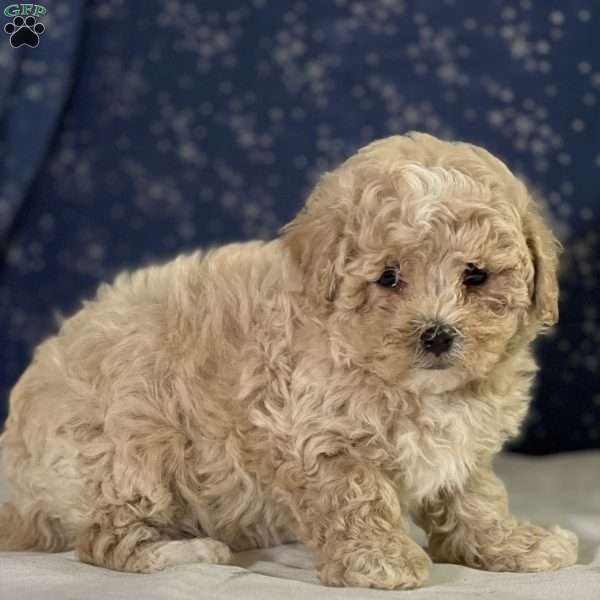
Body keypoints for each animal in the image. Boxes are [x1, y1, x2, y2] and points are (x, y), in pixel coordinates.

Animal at [2, 134, 580, 588]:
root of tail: (24, 483)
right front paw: (380, 561)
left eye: (476, 276)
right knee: (103, 541)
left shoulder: (461, 450)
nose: (437, 334)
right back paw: (189, 550)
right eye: (388, 277)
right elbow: (358, 498)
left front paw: (514, 545)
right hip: (131, 446)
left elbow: (475, 499)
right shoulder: (317, 437)